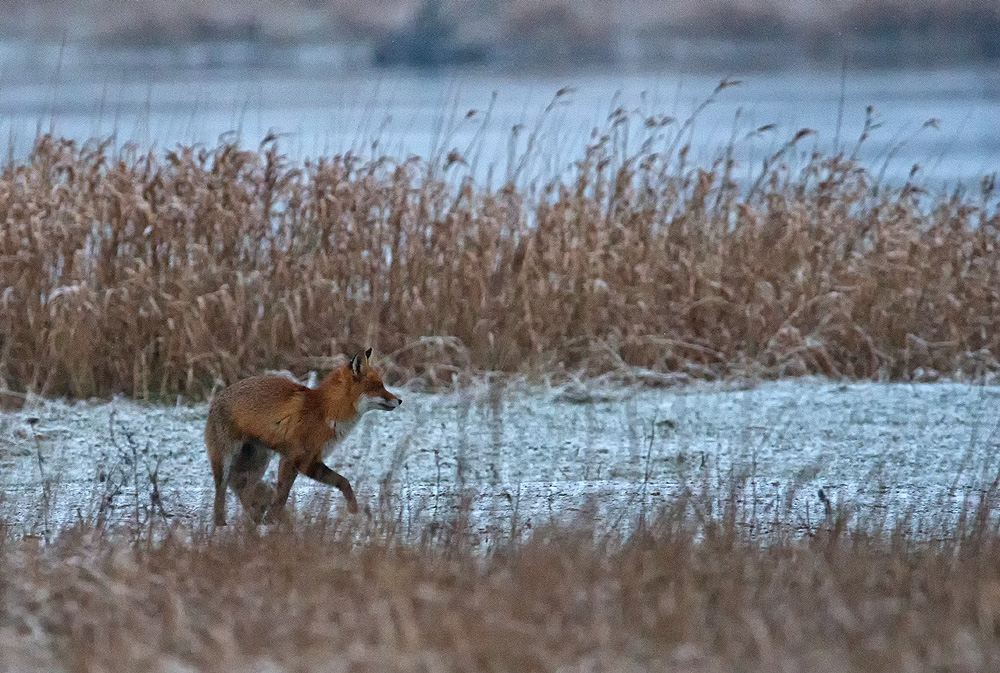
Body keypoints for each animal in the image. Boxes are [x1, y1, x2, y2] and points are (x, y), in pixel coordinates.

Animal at [204, 347, 401, 526]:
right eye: (378, 387)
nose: (400, 400)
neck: (327, 411)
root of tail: (217, 399)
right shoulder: (302, 459)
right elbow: (343, 481)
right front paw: (353, 509)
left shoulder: (290, 460)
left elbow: (282, 495)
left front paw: (272, 521)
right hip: (225, 462)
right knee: (222, 493)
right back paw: (222, 525)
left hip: (257, 463)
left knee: (242, 488)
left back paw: (255, 520)